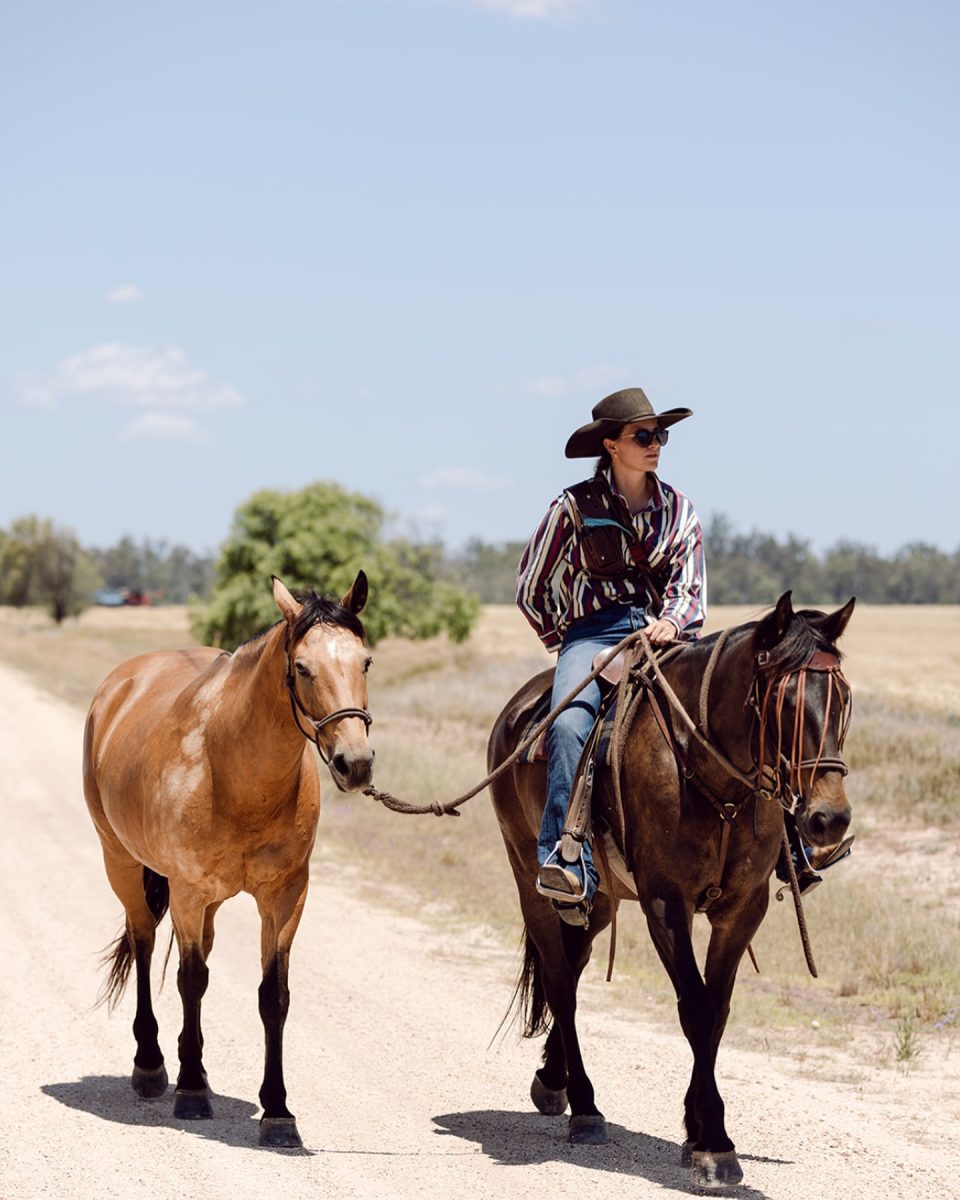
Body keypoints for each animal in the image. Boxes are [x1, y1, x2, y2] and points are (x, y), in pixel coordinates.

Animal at [83, 576, 374, 1147]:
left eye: (366, 662)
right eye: (302, 667)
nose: (355, 764)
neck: (231, 769)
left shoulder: (285, 896)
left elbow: (273, 996)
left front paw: (278, 1110)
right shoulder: (188, 890)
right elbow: (191, 980)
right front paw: (193, 1094)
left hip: (208, 902)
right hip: (122, 863)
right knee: (145, 942)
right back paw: (152, 1066)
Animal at [487, 592, 854, 1190]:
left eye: (844, 699)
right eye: (783, 702)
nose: (830, 820)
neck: (715, 785)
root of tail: (516, 712)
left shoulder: (743, 909)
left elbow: (717, 1010)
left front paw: (695, 1127)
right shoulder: (665, 903)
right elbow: (696, 1009)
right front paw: (714, 1143)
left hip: (600, 900)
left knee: (575, 965)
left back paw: (553, 1080)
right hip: (530, 881)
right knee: (561, 982)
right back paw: (584, 1106)